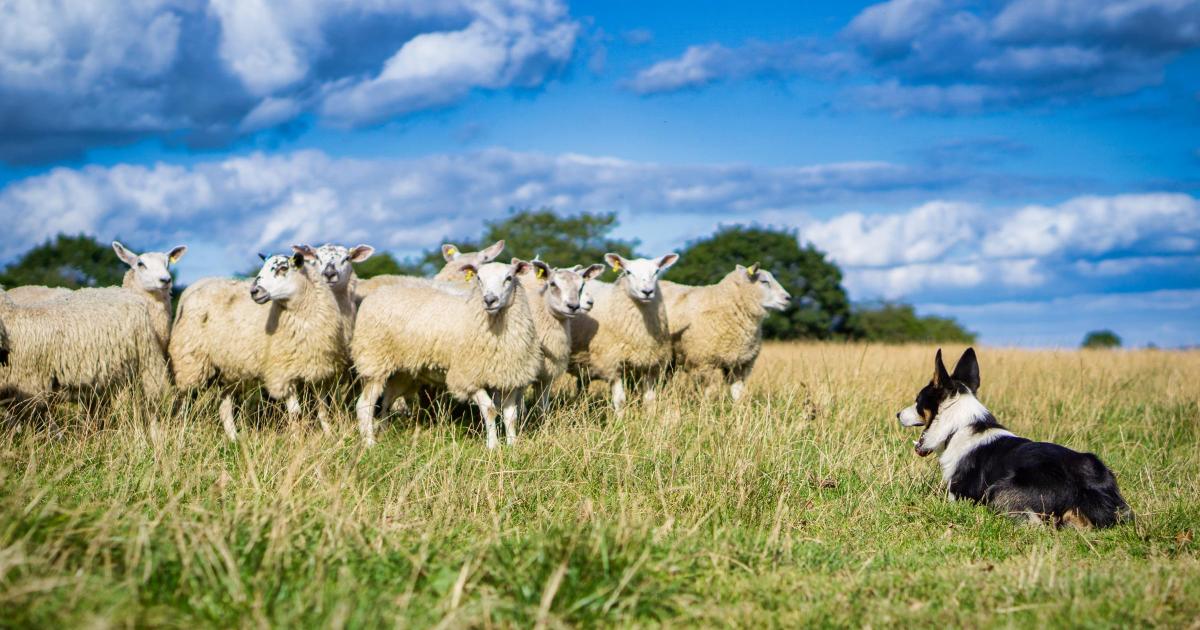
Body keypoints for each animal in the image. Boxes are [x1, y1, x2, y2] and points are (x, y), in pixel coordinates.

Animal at [169, 249, 344, 441]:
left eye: (283, 268)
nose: (254, 291)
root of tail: (191, 290)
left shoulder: (318, 370)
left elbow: (323, 409)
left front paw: (330, 437)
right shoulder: (282, 373)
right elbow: (296, 414)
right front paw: (297, 440)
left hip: (226, 368)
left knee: (224, 407)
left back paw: (234, 439)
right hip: (190, 361)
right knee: (182, 401)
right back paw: (180, 434)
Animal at [352, 258, 540, 448]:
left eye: (509, 278)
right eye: (479, 278)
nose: (489, 300)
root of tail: (375, 294)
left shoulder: (509, 378)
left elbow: (511, 415)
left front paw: (512, 445)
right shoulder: (467, 377)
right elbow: (489, 410)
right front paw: (493, 446)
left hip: (400, 372)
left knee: (386, 401)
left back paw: (383, 434)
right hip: (374, 360)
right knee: (364, 405)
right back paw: (370, 443)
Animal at [569, 253, 678, 414]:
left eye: (657, 271)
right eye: (628, 272)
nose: (647, 292)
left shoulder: (650, 363)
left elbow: (650, 399)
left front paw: (651, 417)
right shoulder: (612, 362)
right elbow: (620, 400)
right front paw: (620, 418)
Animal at [659, 263, 791, 401]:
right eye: (764, 281)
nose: (788, 298)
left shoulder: (739, 364)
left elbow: (738, 393)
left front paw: (739, 406)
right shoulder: (704, 362)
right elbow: (710, 391)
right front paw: (706, 405)